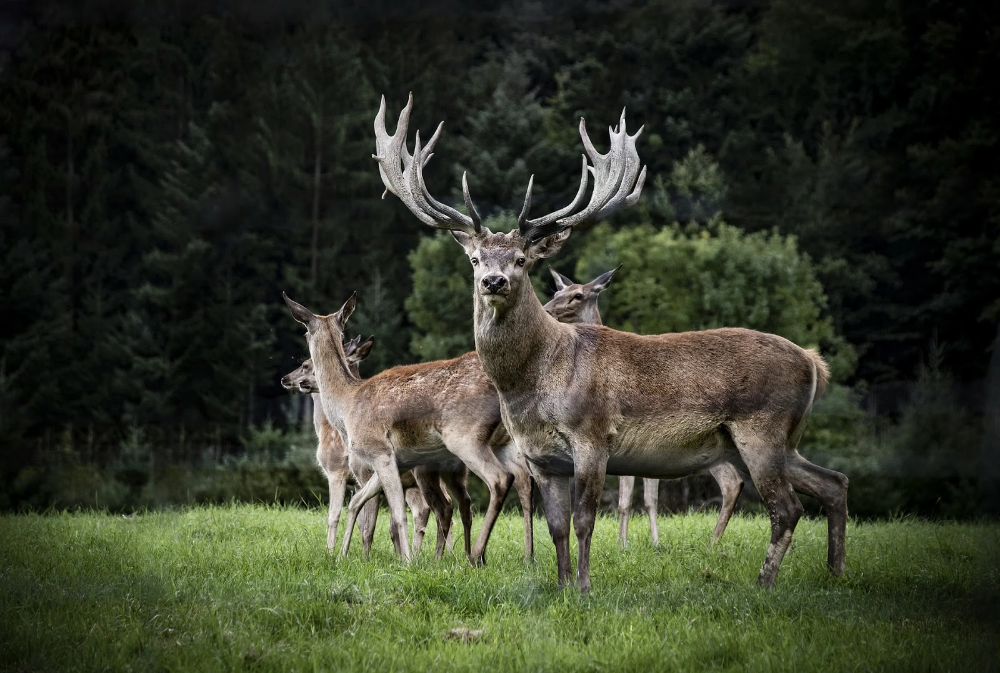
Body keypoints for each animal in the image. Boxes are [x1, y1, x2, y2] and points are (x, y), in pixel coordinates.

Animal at [280, 338, 456, 552]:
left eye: (307, 364)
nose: (287, 379)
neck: (326, 430)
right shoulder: (356, 481)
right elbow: (366, 519)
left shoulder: (339, 472)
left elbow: (341, 517)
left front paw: (332, 551)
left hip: (420, 475)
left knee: (429, 508)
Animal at [544, 268, 748, 544]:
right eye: (557, 292)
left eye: (578, 295)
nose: (547, 309)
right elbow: (635, 499)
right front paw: (635, 541)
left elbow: (635, 499)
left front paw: (633, 543)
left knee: (732, 481)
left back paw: (713, 541)